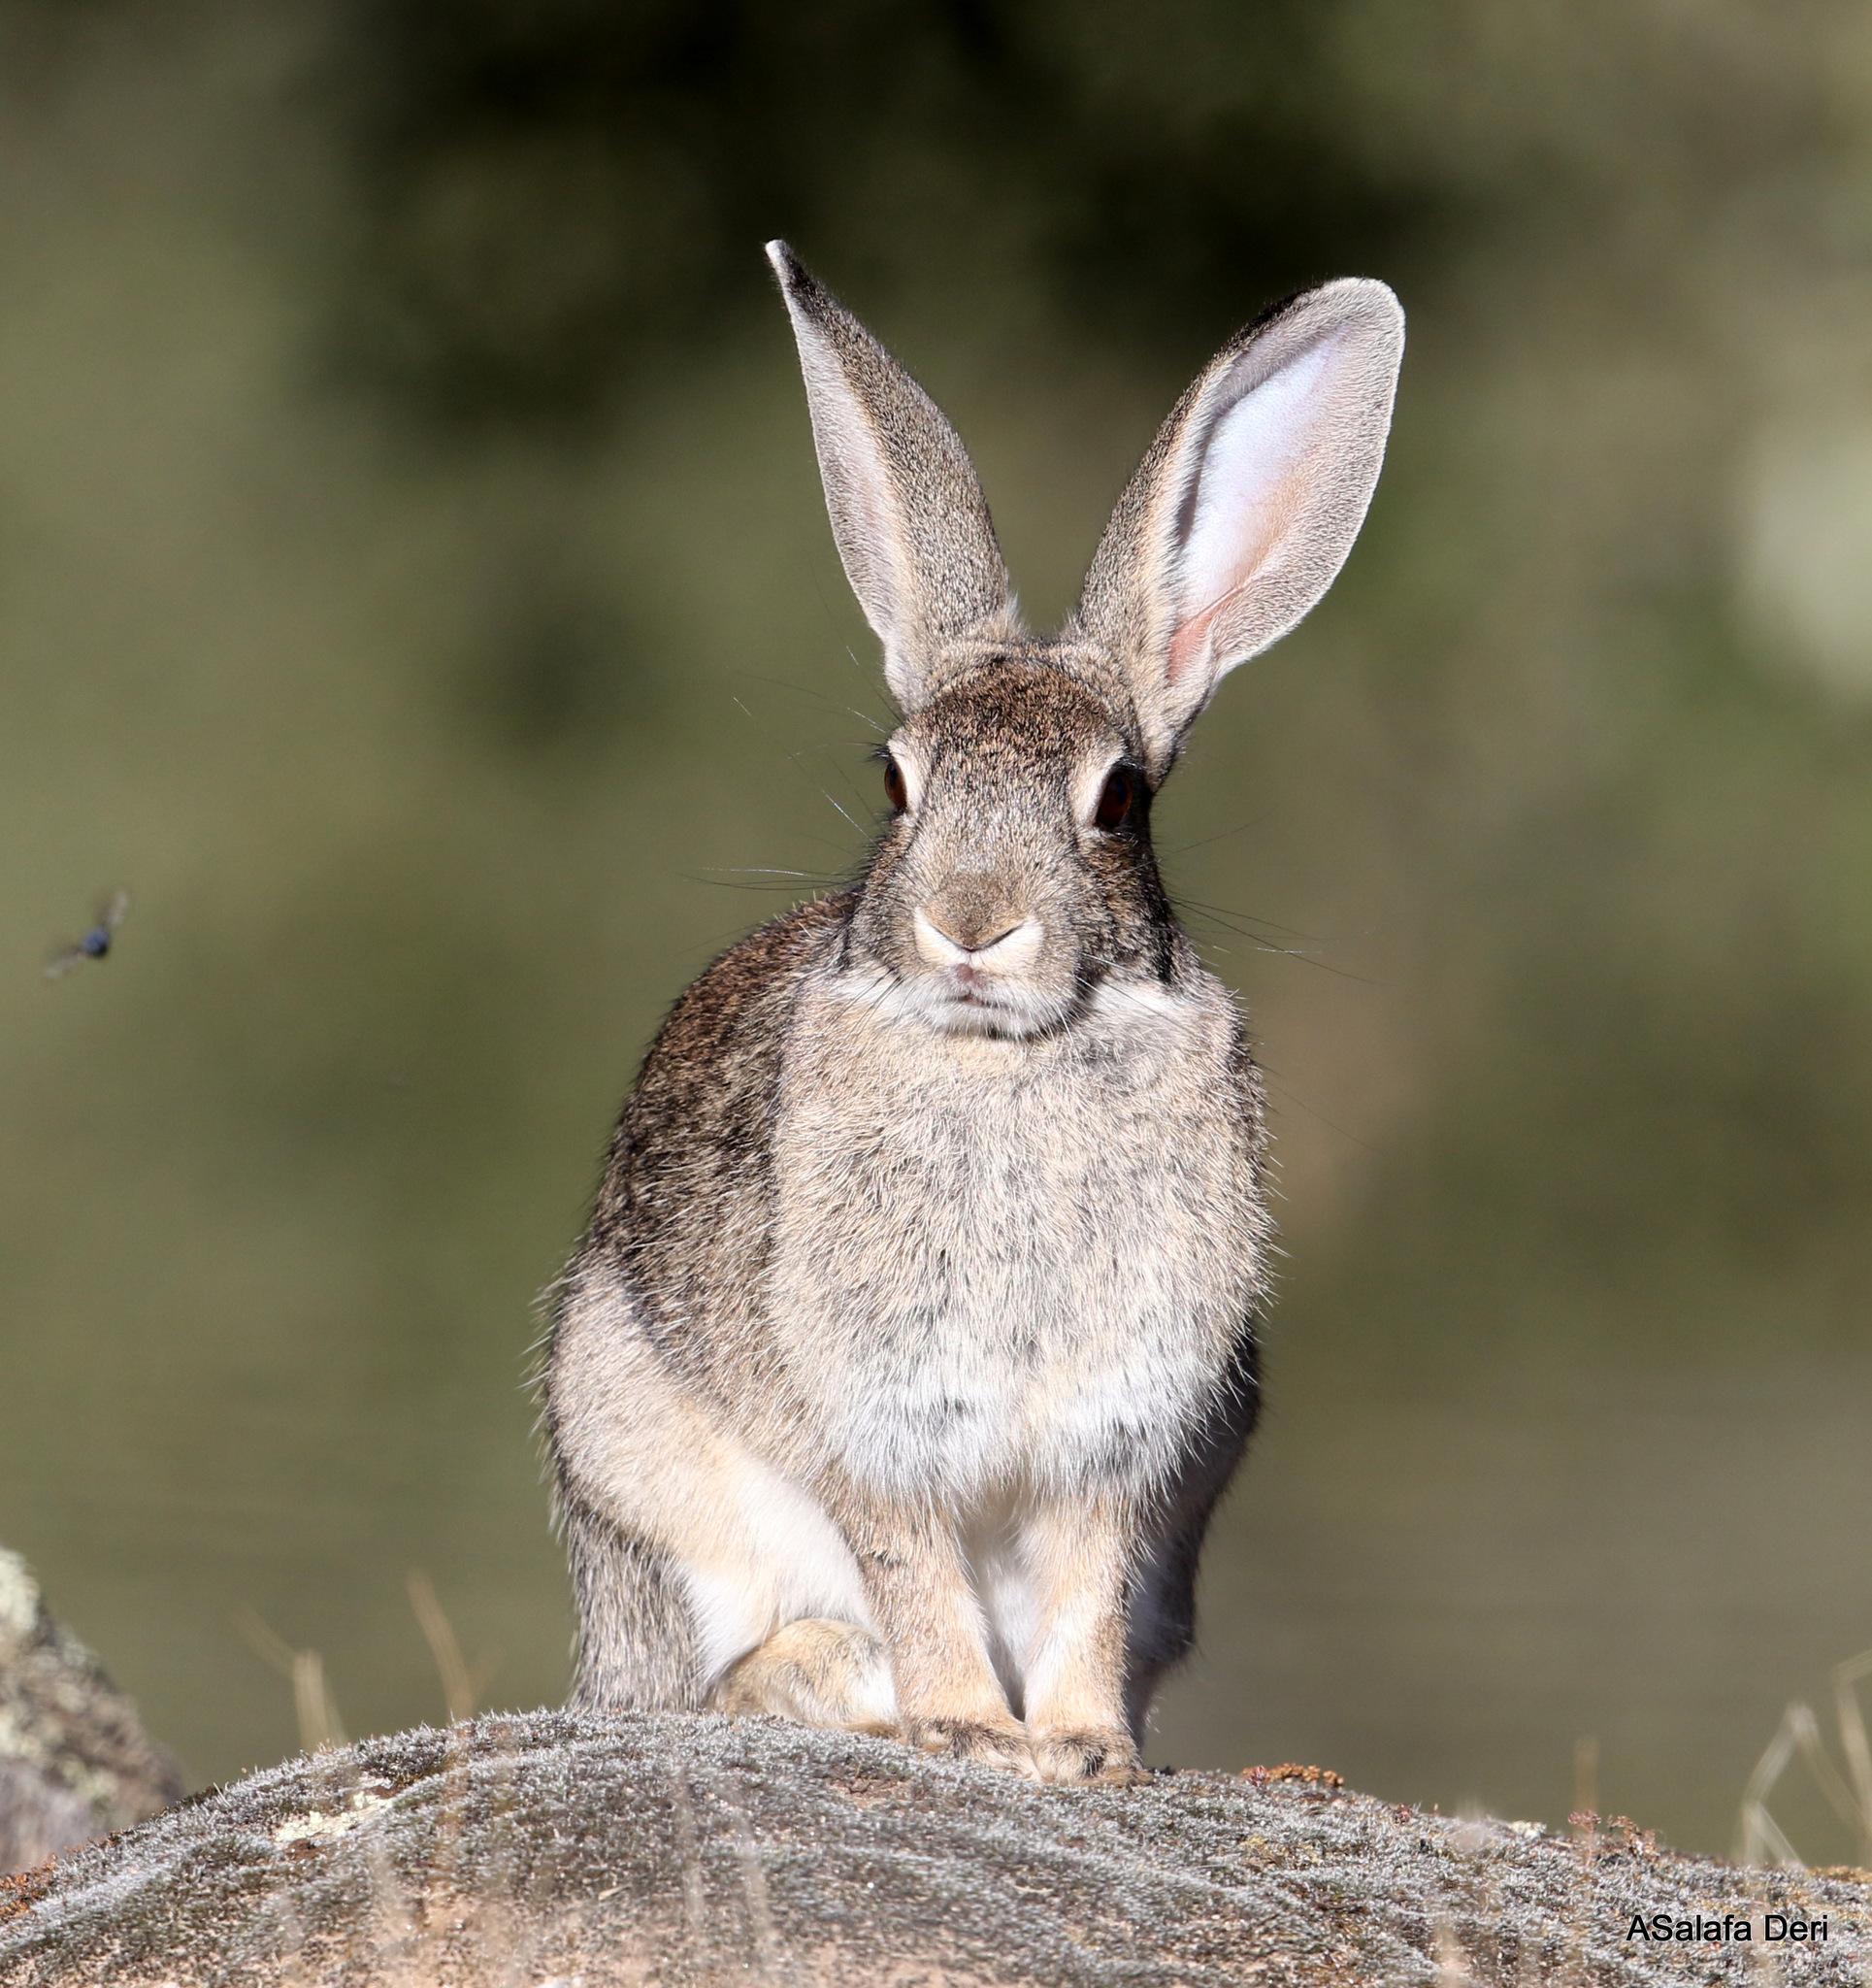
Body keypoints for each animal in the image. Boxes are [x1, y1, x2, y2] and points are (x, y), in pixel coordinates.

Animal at [545, 241, 1403, 1785]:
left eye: (1117, 801)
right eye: (896, 782)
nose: (971, 920)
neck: (1005, 1060)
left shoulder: (1124, 1439)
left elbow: (1088, 1584)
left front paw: (1082, 1749)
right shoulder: (875, 1422)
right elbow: (913, 1565)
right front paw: (957, 1723)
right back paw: (837, 1679)